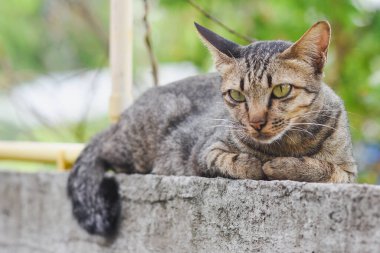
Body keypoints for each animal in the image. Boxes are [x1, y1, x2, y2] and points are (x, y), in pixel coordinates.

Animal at [67, 20, 356, 236]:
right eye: (237, 95)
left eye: (281, 90)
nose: (256, 122)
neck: (286, 144)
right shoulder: (205, 150)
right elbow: (232, 160)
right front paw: (256, 163)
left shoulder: (347, 170)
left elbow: (325, 168)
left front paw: (284, 166)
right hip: (138, 144)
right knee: (101, 149)